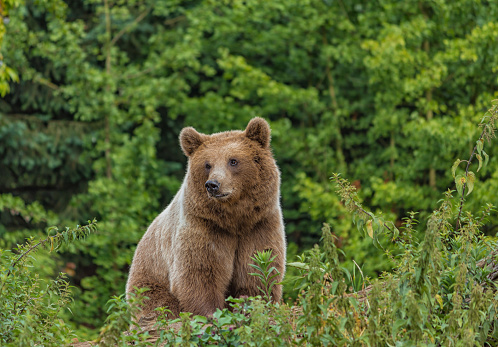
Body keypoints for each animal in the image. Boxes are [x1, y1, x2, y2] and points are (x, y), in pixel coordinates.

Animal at [126, 118, 286, 322]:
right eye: (207, 164)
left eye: (233, 161)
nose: (213, 185)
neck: (235, 220)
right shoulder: (203, 225)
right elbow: (199, 273)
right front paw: (210, 314)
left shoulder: (259, 225)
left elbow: (257, 270)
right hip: (148, 282)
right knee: (159, 306)